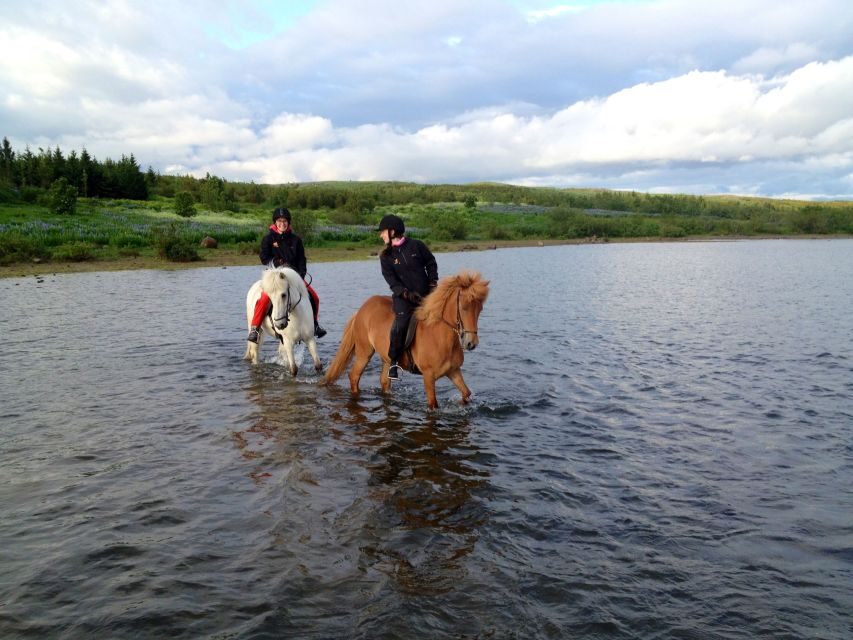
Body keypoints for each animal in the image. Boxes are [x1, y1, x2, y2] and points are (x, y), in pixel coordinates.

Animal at [324, 270, 489, 409]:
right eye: (464, 307)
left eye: (480, 309)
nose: (471, 343)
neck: (440, 336)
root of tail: (361, 310)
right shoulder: (428, 377)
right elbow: (433, 405)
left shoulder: (454, 371)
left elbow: (466, 393)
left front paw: (461, 403)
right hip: (365, 352)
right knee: (354, 376)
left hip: (387, 359)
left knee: (384, 382)